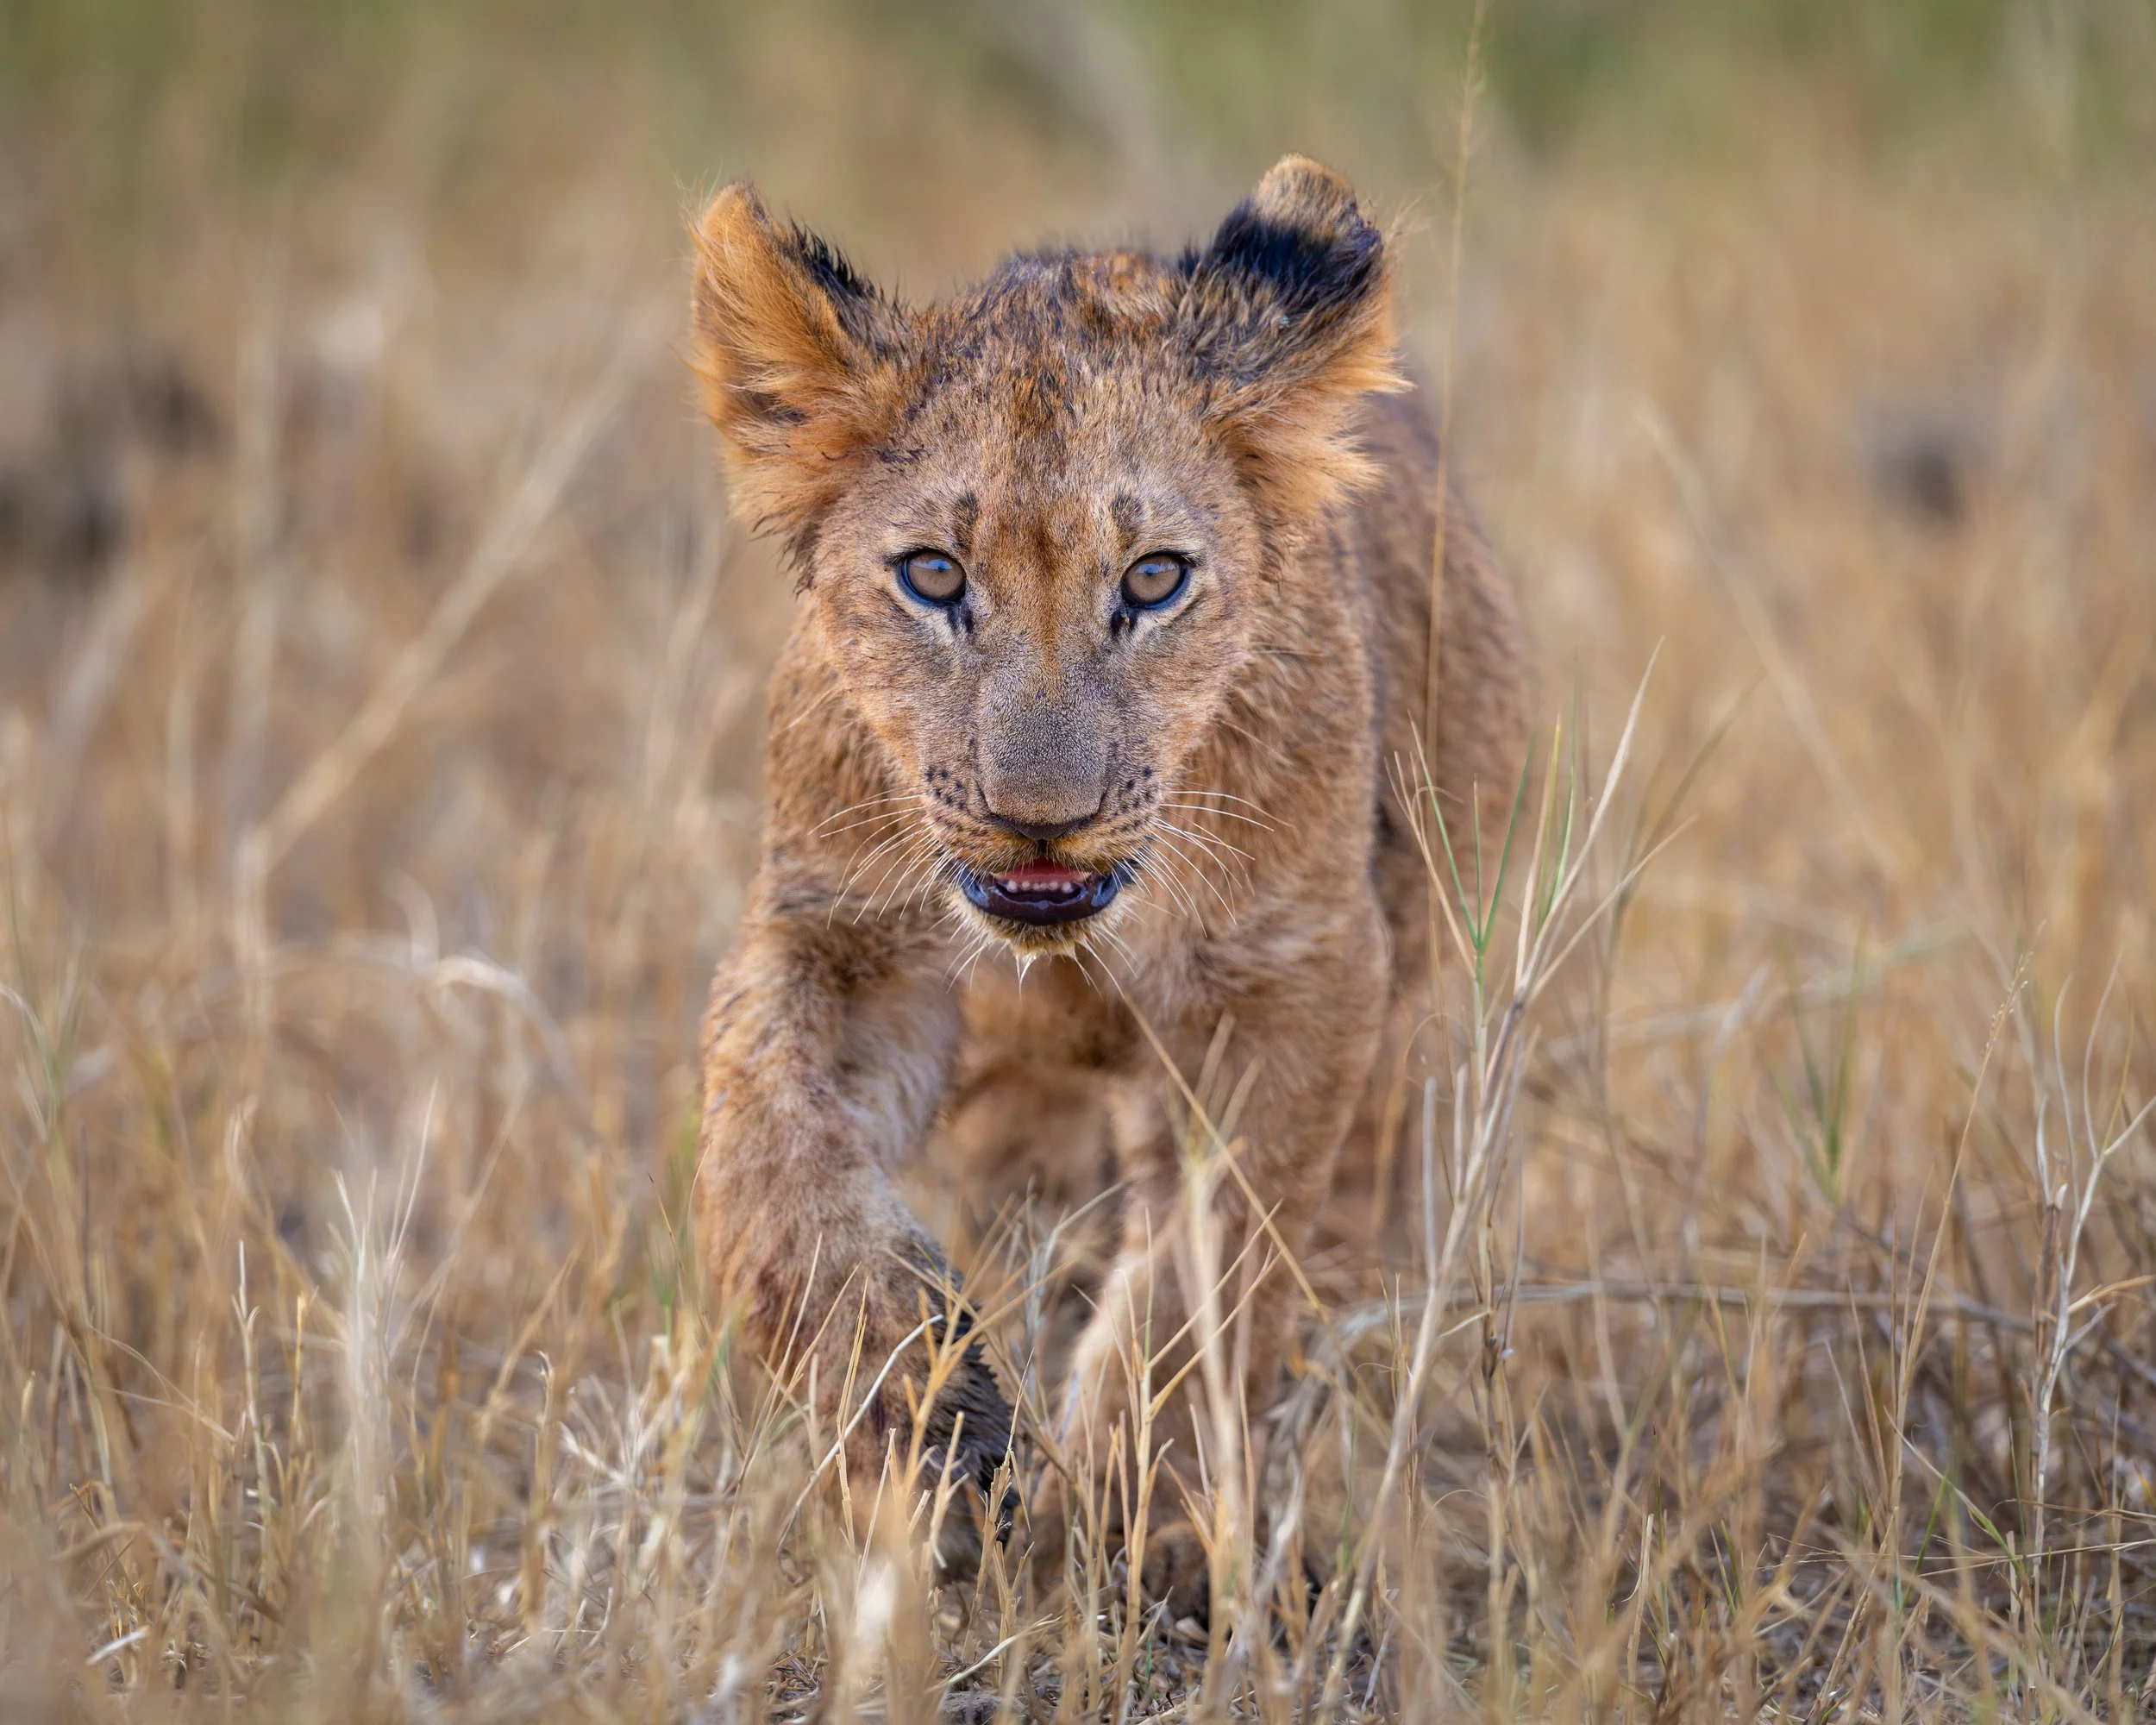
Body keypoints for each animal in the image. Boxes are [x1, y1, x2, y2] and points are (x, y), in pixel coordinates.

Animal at [687, 156, 1532, 1576]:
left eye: (1153, 578)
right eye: (933, 575)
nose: (1042, 819)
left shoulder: (1301, 978)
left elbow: (1213, 1264)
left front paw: (1127, 1508)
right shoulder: (840, 927)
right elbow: (767, 1149)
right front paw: (922, 1419)